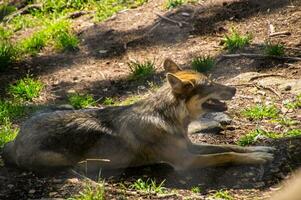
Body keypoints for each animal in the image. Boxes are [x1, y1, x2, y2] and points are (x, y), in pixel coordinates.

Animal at [2, 58, 274, 172]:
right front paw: (257, 158)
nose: (235, 89)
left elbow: (231, 146)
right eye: (211, 84)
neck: (168, 119)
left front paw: (261, 149)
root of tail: (15, 139)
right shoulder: (185, 161)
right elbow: (226, 154)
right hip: (58, 160)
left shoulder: (191, 146)